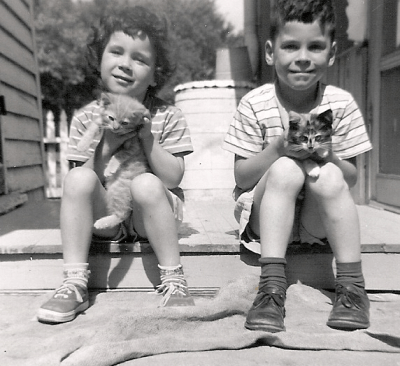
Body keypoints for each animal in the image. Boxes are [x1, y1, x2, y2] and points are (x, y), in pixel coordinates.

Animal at [77, 92, 151, 229]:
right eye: (111, 118)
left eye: (125, 123)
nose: (115, 128)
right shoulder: (101, 121)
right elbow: (93, 127)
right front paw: (82, 144)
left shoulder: (134, 146)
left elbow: (119, 155)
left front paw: (109, 168)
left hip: (118, 188)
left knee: (123, 214)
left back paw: (103, 222)